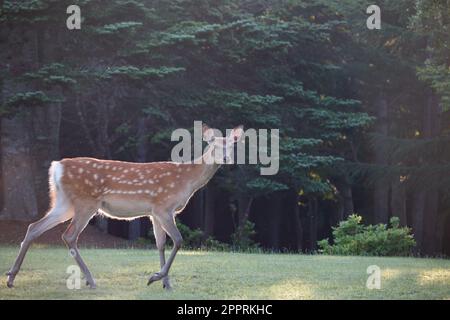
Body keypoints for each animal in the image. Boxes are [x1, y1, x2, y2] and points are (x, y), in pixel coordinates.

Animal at [6, 124, 243, 288]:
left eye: (232, 145)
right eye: (213, 144)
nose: (226, 157)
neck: (186, 182)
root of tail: (57, 167)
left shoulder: (154, 212)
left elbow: (160, 244)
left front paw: (165, 283)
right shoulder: (163, 206)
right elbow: (178, 240)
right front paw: (156, 277)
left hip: (65, 203)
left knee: (34, 227)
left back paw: (11, 277)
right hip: (86, 202)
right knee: (69, 235)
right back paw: (91, 280)